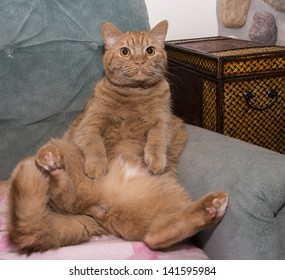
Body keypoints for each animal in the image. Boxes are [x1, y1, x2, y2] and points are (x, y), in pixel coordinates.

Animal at [6, 21, 227, 254]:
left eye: (150, 50)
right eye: (125, 52)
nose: (139, 60)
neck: (135, 95)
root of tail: (100, 209)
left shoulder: (163, 122)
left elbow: (157, 139)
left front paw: (156, 161)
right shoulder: (89, 124)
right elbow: (95, 145)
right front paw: (97, 167)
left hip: (165, 206)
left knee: (156, 236)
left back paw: (212, 207)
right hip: (63, 148)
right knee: (66, 201)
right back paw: (52, 164)